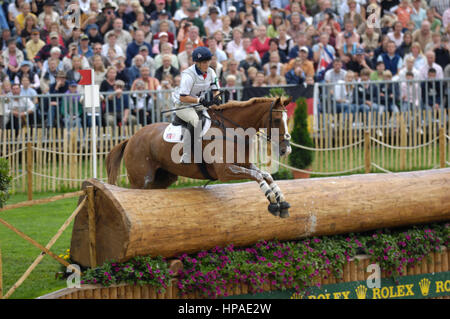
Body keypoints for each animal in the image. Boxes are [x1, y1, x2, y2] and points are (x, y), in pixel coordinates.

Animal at [107, 96, 294, 219]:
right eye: (277, 120)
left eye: (287, 119)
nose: (287, 150)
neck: (232, 130)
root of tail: (131, 138)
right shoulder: (225, 171)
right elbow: (257, 176)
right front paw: (272, 201)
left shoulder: (244, 164)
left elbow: (266, 175)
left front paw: (281, 201)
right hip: (141, 180)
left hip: (163, 178)